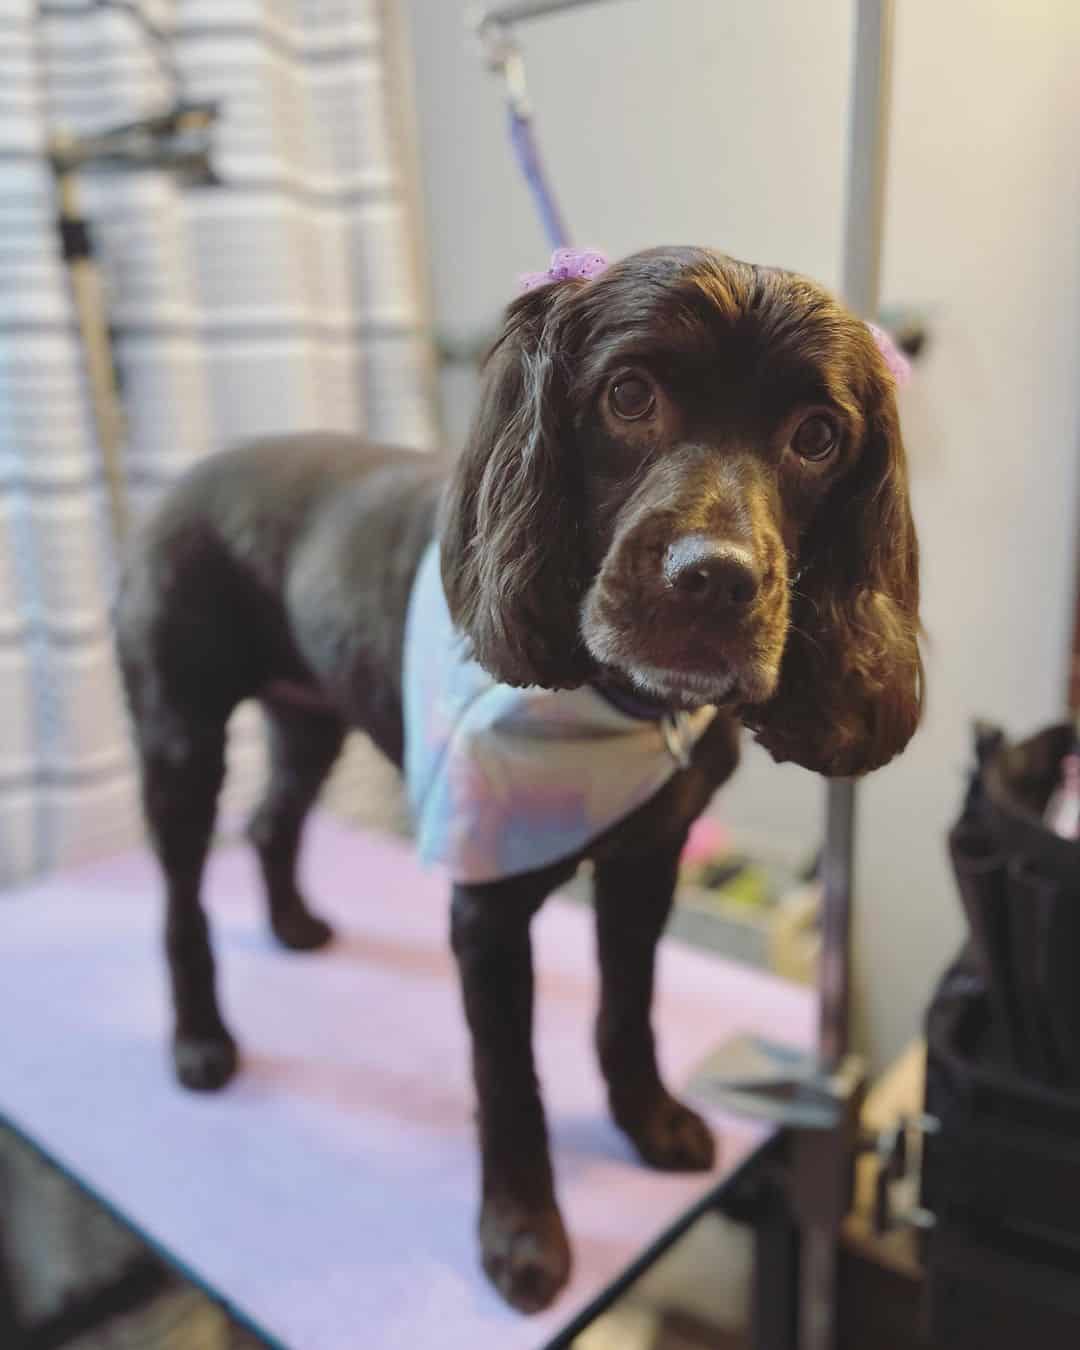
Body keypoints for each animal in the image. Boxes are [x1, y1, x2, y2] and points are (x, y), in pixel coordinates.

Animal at [114, 248, 918, 1312]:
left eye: (818, 436)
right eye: (630, 394)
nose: (715, 579)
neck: (621, 705)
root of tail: (183, 481)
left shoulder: (646, 861)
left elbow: (629, 1011)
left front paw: (649, 1121)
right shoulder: (487, 908)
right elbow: (509, 1080)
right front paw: (523, 1234)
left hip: (308, 715)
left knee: (270, 824)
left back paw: (291, 926)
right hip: (180, 738)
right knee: (178, 900)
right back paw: (200, 1040)